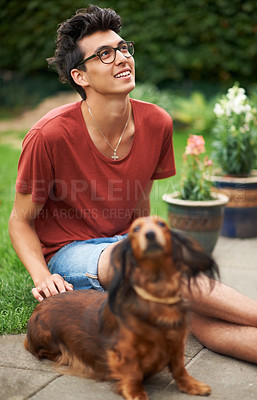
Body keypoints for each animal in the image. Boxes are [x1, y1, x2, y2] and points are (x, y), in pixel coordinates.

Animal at [24, 217, 218, 398]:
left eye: (162, 224)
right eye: (136, 229)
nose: (150, 234)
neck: (158, 297)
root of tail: (40, 306)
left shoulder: (177, 343)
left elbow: (179, 368)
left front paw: (192, 385)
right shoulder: (125, 350)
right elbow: (133, 373)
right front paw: (136, 393)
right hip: (46, 337)